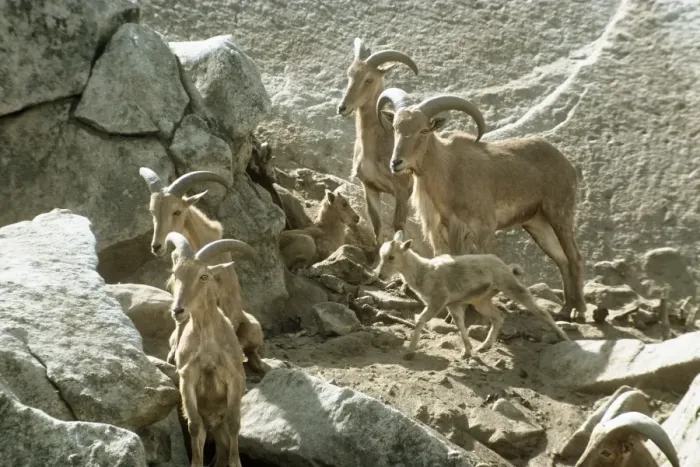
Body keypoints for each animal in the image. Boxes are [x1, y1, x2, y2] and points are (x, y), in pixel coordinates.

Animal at [139, 168, 267, 374]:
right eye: (152, 211)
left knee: (250, 347)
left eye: (177, 211)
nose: (156, 246)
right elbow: (181, 322)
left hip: (253, 326)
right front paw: (174, 355)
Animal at [165, 233, 247, 467]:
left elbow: (234, 423)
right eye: (176, 274)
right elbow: (194, 426)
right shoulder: (187, 379)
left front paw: (236, 463)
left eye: (203, 276)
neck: (208, 345)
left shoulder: (234, 377)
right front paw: (196, 463)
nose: (178, 310)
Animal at [337, 37, 418, 246]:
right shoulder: (370, 188)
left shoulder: (401, 191)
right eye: (349, 74)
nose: (342, 107)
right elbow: (377, 227)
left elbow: (398, 226)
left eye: (369, 79)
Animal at [374, 231, 570, 359]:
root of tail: (506, 266)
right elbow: (460, 324)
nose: (380, 275)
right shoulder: (452, 303)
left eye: (391, 257)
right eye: (381, 255)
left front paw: (409, 351)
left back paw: (565, 338)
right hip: (481, 300)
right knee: (498, 316)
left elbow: (420, 319)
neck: (424, 271)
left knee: (541, 311)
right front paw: (467, 352)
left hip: (509, 285)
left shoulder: (438, 300)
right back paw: (484, 346)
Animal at [376, 88, 587, 322]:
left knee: (575, 257)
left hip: (559, 213)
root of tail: (567, 164)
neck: (448, 172)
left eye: (423, 130)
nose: (396, 163)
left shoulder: (483, 227)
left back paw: (579, 309)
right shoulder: (448, 227)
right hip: (537, 224)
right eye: (396, 128)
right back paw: (565, 309)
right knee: (562, 259)